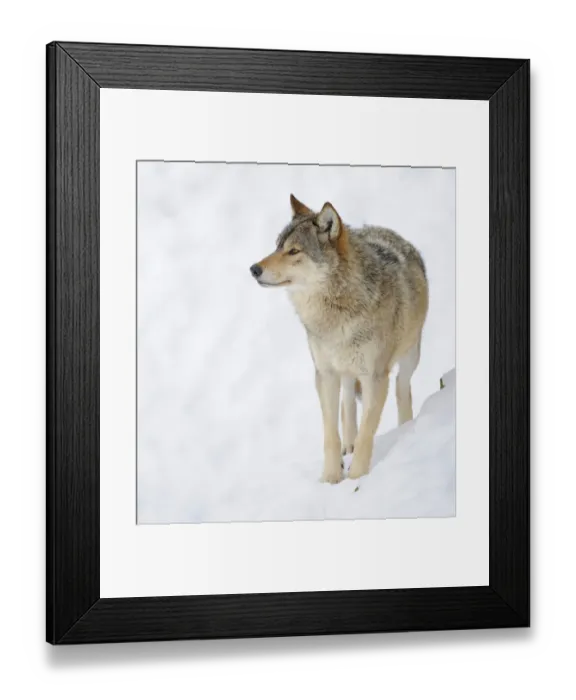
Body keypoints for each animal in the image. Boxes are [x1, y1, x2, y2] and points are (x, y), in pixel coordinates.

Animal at [250, 195, 429, 484]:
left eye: (294, 251)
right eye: (277, 246)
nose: (254, 269)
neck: (336, 314)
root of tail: (382, 229)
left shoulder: (375, 377)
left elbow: (368, 432)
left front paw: (356, 479)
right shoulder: (325, 374)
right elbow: (330, 434)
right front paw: (331, 478)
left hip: (409, 356)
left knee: (402, 388)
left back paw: (405, 428)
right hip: (344, 371)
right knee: (347, 401)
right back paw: (349, 443)